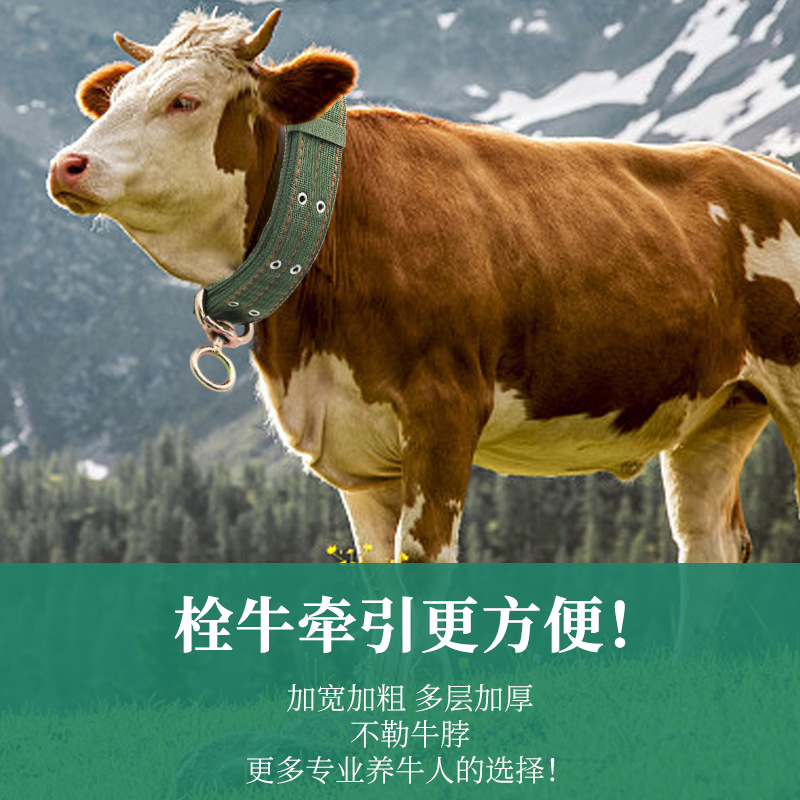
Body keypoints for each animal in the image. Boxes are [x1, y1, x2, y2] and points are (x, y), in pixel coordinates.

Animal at [49, 10, 800, 564]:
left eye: (185, 100)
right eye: (113, 100)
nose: (67, 164)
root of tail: (769, 168)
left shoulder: (445, 414)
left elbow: (423, 565)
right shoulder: (353, 449)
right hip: (718, 411)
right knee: (710, 540)